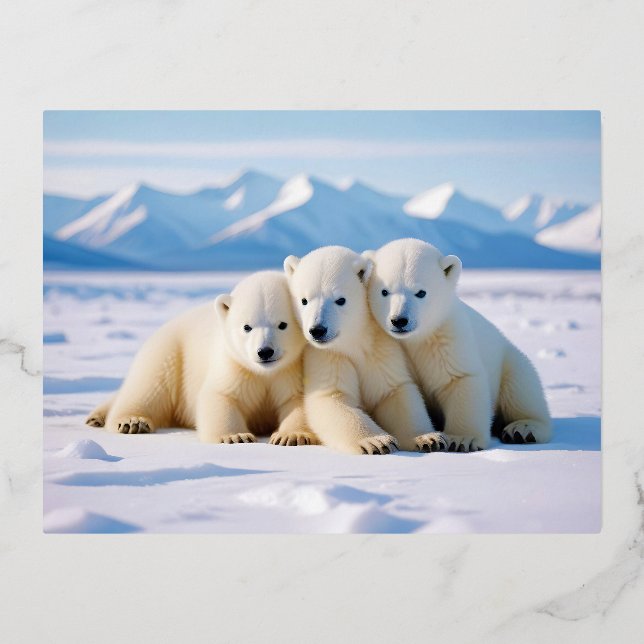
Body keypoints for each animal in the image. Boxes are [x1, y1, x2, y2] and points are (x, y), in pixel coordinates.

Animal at [85, 271, 318, 446]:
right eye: (247, 326)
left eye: (283, 324)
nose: (265, 351)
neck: (266, 372)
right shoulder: (234, 365)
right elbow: (220, 395)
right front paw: (235, 436)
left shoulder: (293, 369)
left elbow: (299, 400)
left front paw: (290, 436)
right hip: (169, 352)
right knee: (149, 386)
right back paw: (131, 421)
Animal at [283, 245, 447, 455]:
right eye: (304, 300)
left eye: (340, 300)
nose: (318, 330)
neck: (354, 341)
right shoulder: (330, 356)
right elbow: (332, 397)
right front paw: (377, 441)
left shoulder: (379, 350)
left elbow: (394, 391)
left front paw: (428, 438)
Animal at [362, 238, 551, 452]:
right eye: (384, 291)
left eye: (421, 292)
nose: (399, 320)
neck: (413, 339)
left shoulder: (446, 336)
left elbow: (459, 378)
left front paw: (462, 440)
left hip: (509, 359)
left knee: (521, 386)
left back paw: (523, 429)